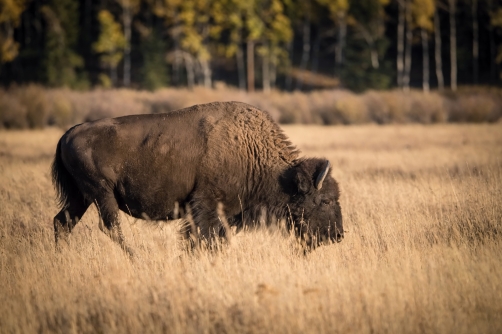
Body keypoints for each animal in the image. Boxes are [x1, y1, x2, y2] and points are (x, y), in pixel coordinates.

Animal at [53, 100, 344, 252]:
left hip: (82, 196)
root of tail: (68, 133)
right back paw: (137, 257)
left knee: (62, 222)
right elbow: (202, 237)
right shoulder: (206, 207)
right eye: (326, 201)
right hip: (101, 193)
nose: (338, 235)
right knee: (110, 226)